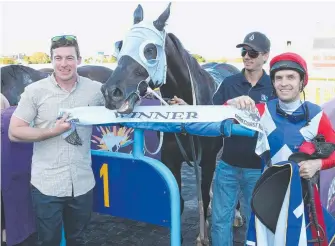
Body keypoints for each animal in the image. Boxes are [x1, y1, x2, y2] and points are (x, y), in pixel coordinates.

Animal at [100, 3, 242, 244]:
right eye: (121, 45)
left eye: (149, 50)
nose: (112, 93)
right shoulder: (171, 160)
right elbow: (180, 203)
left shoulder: (208, 160)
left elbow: (204, 193)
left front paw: (202, 237)